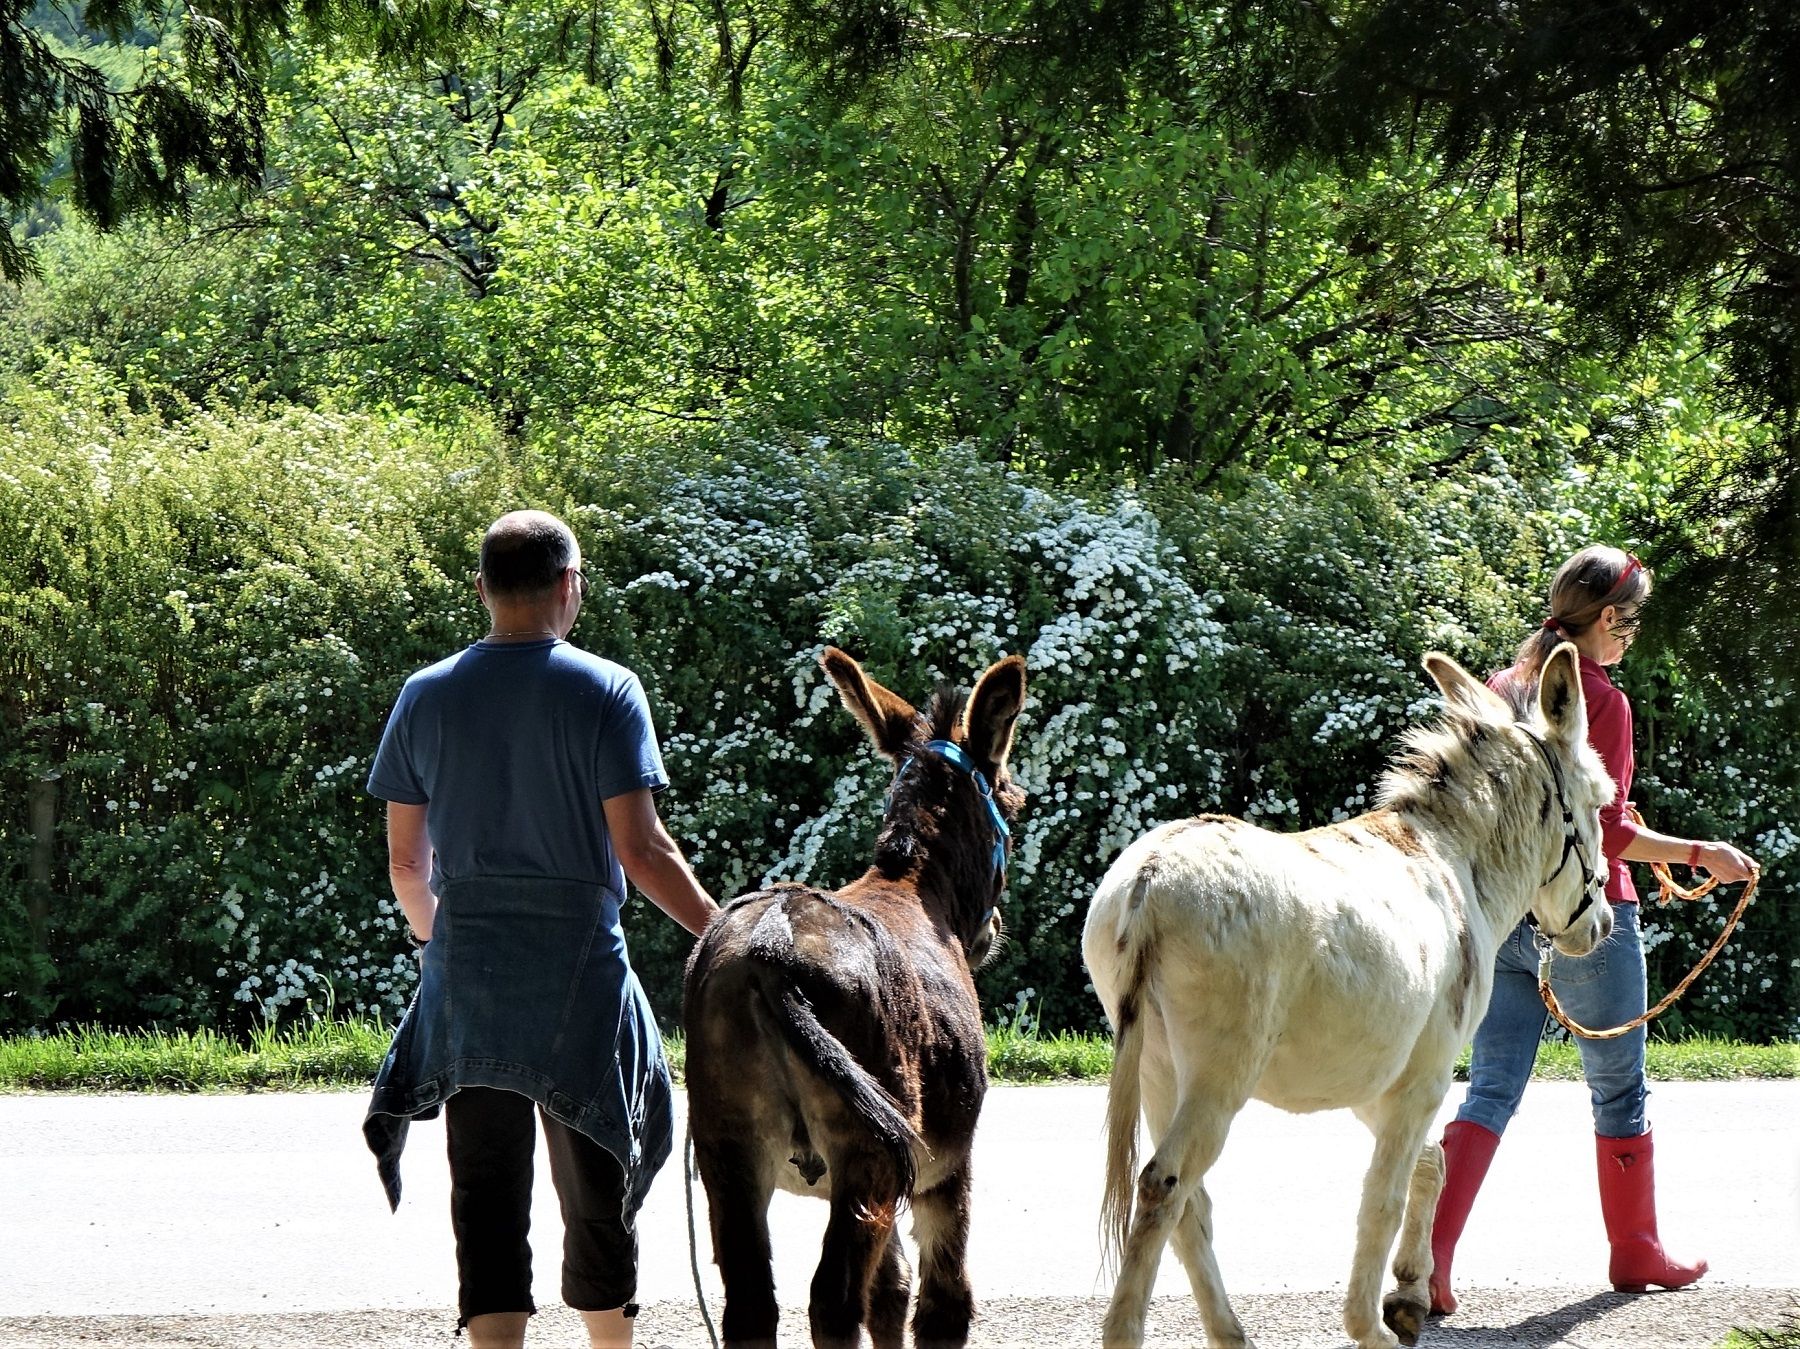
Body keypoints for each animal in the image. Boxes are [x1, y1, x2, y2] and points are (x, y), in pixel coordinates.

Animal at [683, 646, 1026, 1349]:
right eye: (1014, 799)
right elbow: (942, 1304)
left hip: (730, 1150)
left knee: (755, 1305)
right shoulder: (945, 1169)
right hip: (866, 1155)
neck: (912, 884)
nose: (992, 933)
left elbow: (889, 1294)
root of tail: (771, 952)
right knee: (833, 1303)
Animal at [1083, 644, 1614, 1349]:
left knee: (1191, 1203)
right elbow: (1382, 1198)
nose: (1601, 926)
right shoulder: (1425, 1075)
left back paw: (1232, 1335)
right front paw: (1372, 1327)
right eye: (1601, 804)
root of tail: (1151, 877)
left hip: (1156, 1068)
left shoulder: (1381, 1080)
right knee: (1165, 1186)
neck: (1455, 859)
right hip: (1220, 1073)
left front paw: (1410, 1296)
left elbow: (1431, 1164)